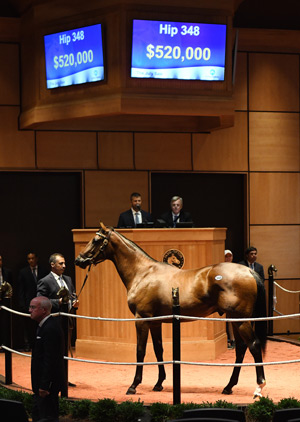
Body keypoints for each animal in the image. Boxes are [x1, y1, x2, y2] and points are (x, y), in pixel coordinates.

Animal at [75, 223, 268, 398]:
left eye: (96, 240)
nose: (79, 260)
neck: (143, 273)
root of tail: (249, 271)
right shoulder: (155, 322)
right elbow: (158, 349)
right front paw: (159, 383)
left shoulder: (141, 319)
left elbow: (140, 350)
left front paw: (134, 385)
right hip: (234, 320)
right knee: (241, 348)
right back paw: (228, 387)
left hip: (240, 320)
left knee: (253, 345)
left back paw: (259, 386)